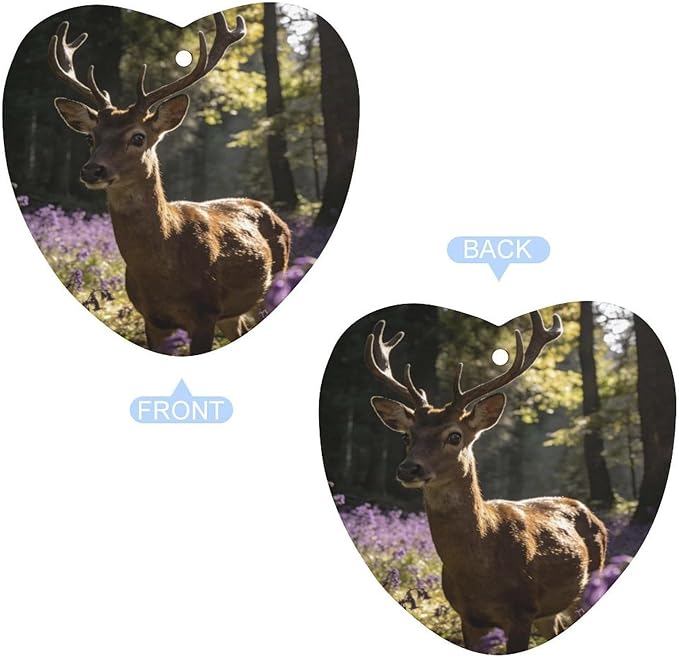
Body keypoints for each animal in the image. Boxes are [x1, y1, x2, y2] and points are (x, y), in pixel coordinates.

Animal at [48, 13, 291, 354]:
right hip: (232, 313)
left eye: (138, 137)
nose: (92, 170)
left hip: (274, 284)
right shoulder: (152, 319)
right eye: (90, 138)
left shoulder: (205, 313)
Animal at [365, 311, 608, 654]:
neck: (481, 570)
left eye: (454, 436)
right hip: (550, 610)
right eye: (407, 437)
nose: (408, 469)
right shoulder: (468, 617)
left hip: (590, 583)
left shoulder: (522, 610)